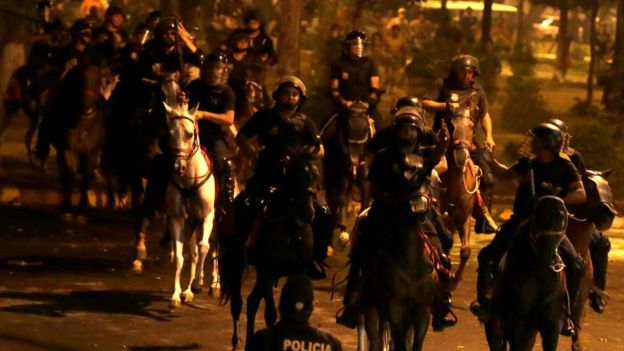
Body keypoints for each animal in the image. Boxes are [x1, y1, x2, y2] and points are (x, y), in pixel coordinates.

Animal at [163, 98, 217, 308]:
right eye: (169, 134)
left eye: (190, 134)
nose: (179, 166)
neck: (190, 181)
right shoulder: (177, 218)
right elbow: (180, 257)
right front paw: (176, 295)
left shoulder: (208, 216)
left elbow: (204, 247)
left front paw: (198, 284)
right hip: (192, 224)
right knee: (193, 254)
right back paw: (188, 291)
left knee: (215, 249)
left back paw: (214, 284)